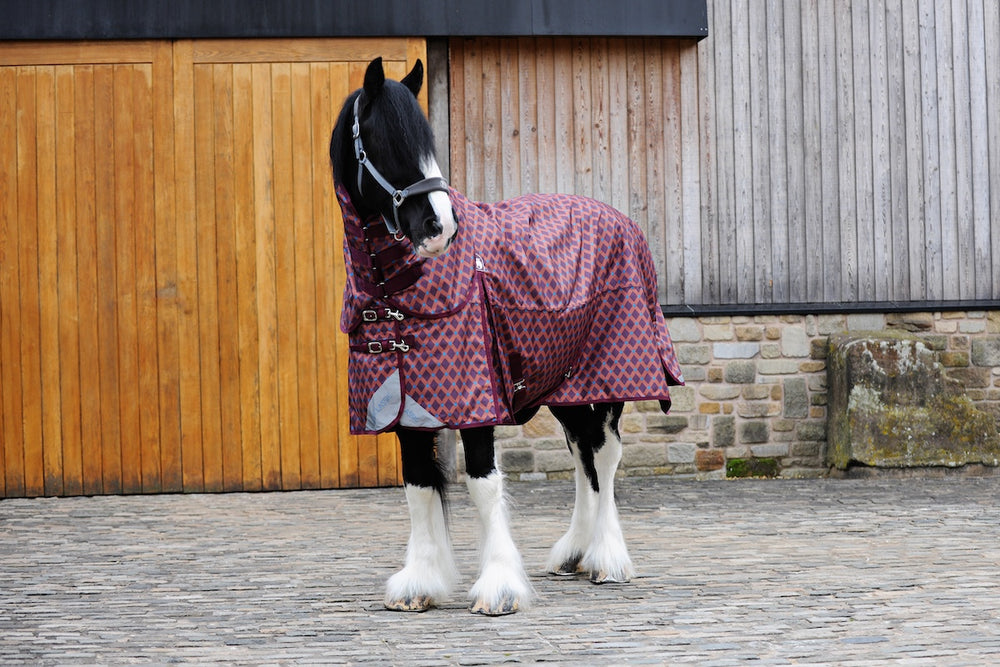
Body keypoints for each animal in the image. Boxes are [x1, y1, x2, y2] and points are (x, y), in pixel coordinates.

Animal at [328, 57, 683, 616]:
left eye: (425, 140)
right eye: (384, 142)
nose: (439, 227)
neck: (398, 297)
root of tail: (619, 219)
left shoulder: (478, 403)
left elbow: (482, 484)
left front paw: (499, 586)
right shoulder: (405, 411)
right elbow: (419, 486)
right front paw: (420, 582)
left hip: (610, 380)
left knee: (604, 456)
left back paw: (606, 559)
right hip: (564, 388)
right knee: (582, 457)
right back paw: (573, 553)